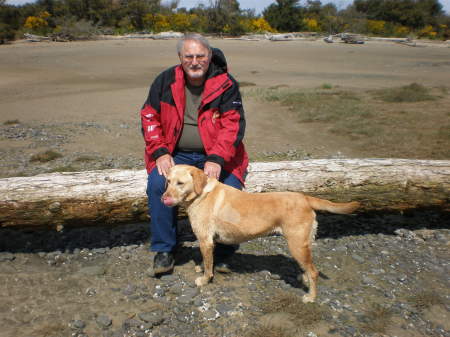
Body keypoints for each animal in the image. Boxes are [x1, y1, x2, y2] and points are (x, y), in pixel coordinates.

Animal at [162, 163, 358, 302]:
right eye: (168, 181)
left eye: (180, 183)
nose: (163, 198)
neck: (200, 193)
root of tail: (304, 198)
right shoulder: (209, 242)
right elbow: (208, 261)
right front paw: (202, 268)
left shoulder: (205, 240)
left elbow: (209, 266)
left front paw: (204, 280)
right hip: (303, 245)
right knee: (308, 268)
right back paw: (304, 279)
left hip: (296, 245)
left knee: (314, 272)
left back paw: (311, 296)